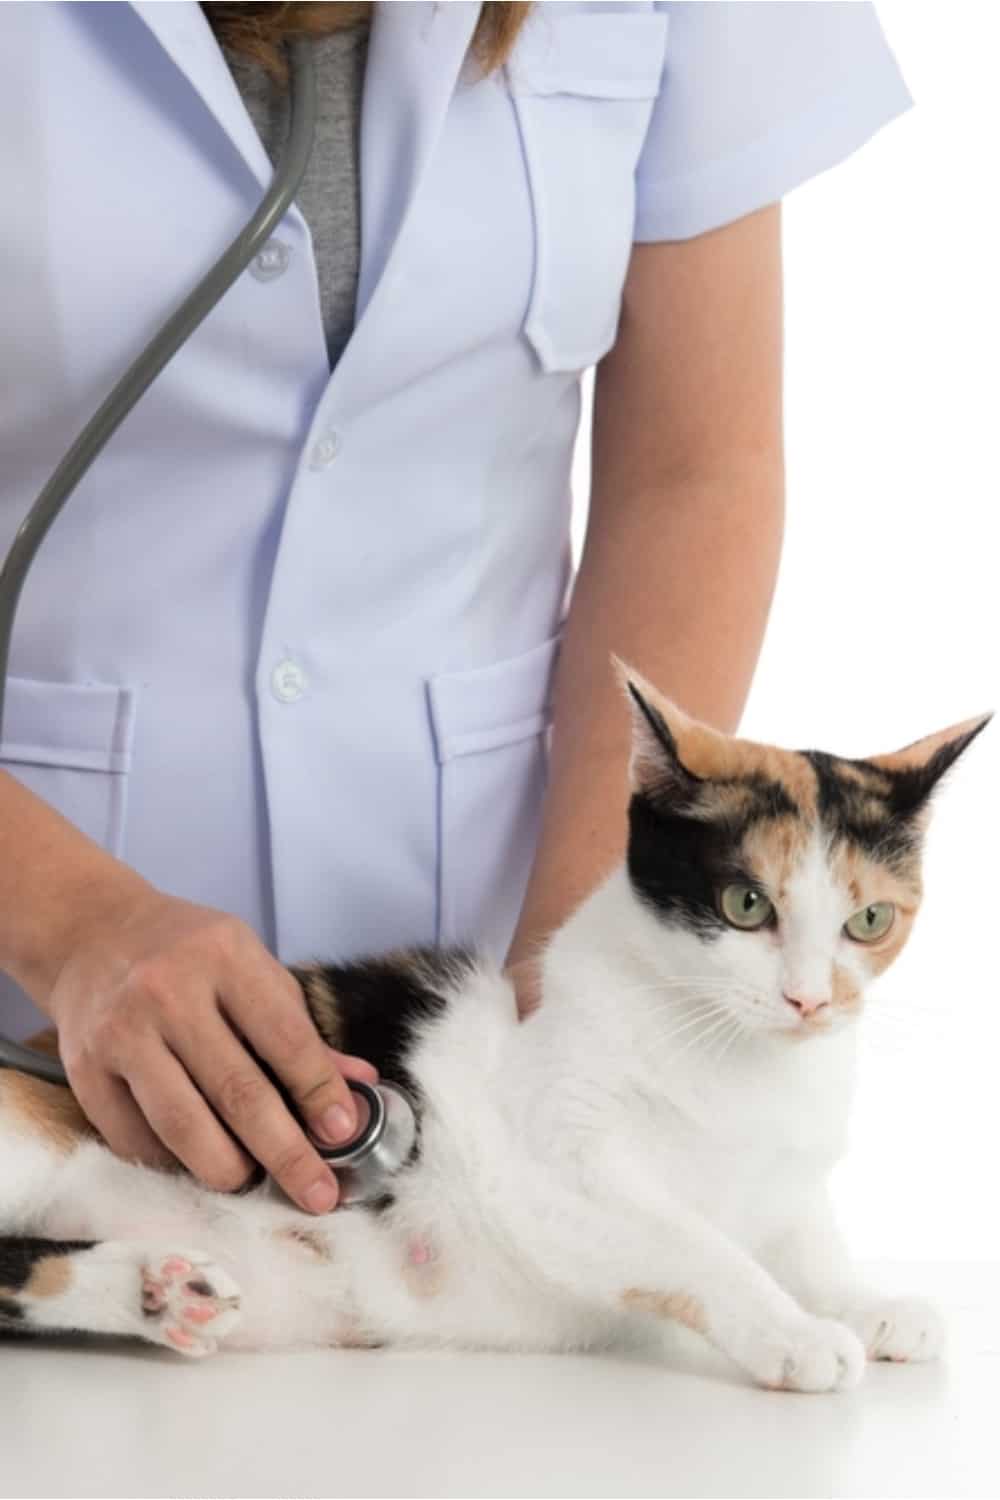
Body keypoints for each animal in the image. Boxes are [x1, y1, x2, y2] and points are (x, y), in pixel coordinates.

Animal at [0, 675, 989, 1386]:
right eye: (747, 905)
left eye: (870, 920)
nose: (809, 1001)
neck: (738, 1062)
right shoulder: (558, 1168)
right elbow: (698, 1247)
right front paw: (794, 1331)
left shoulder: (789, 1174)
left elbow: (805, 1237)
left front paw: (864, 1302)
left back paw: (166, 1291)